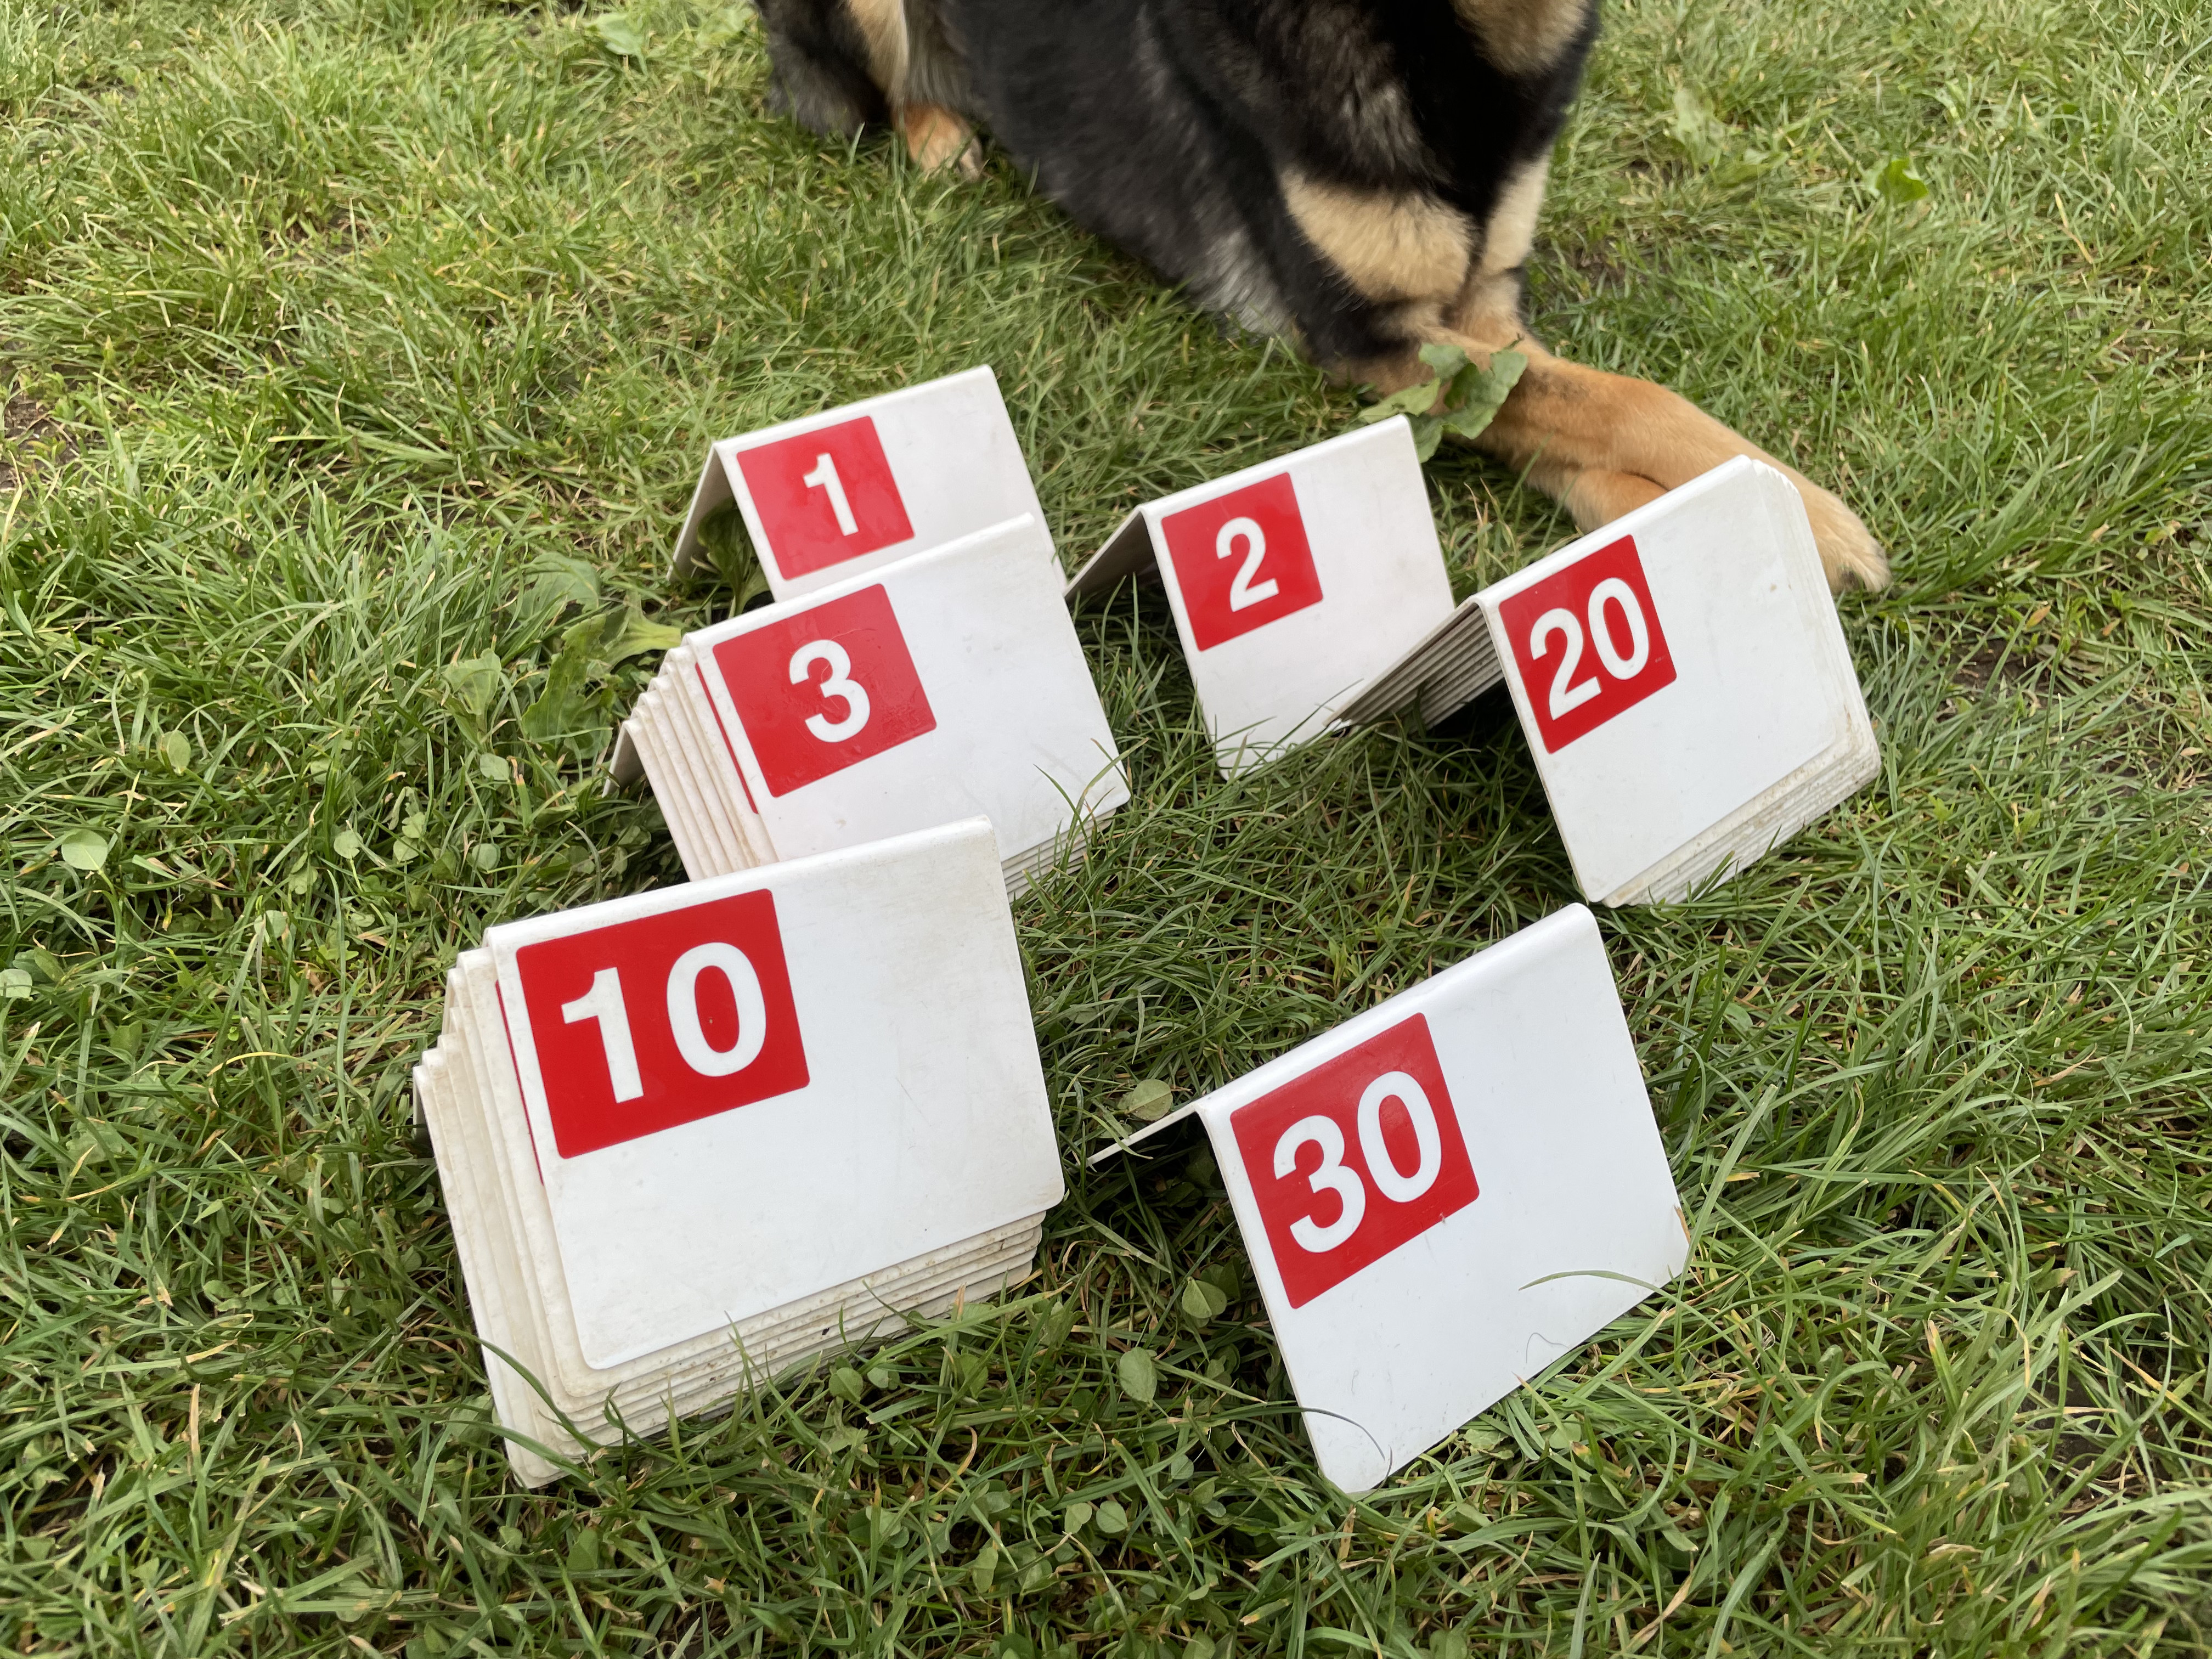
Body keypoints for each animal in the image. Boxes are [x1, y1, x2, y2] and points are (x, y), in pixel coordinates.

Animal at [751, 0, 1888, 594]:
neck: (1436, 41)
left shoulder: (1484, 314)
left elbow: (1578, 408)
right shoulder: (1370, 339)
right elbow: (1623, 396)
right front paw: (1803, 507)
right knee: (890, 94)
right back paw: (941, 138)